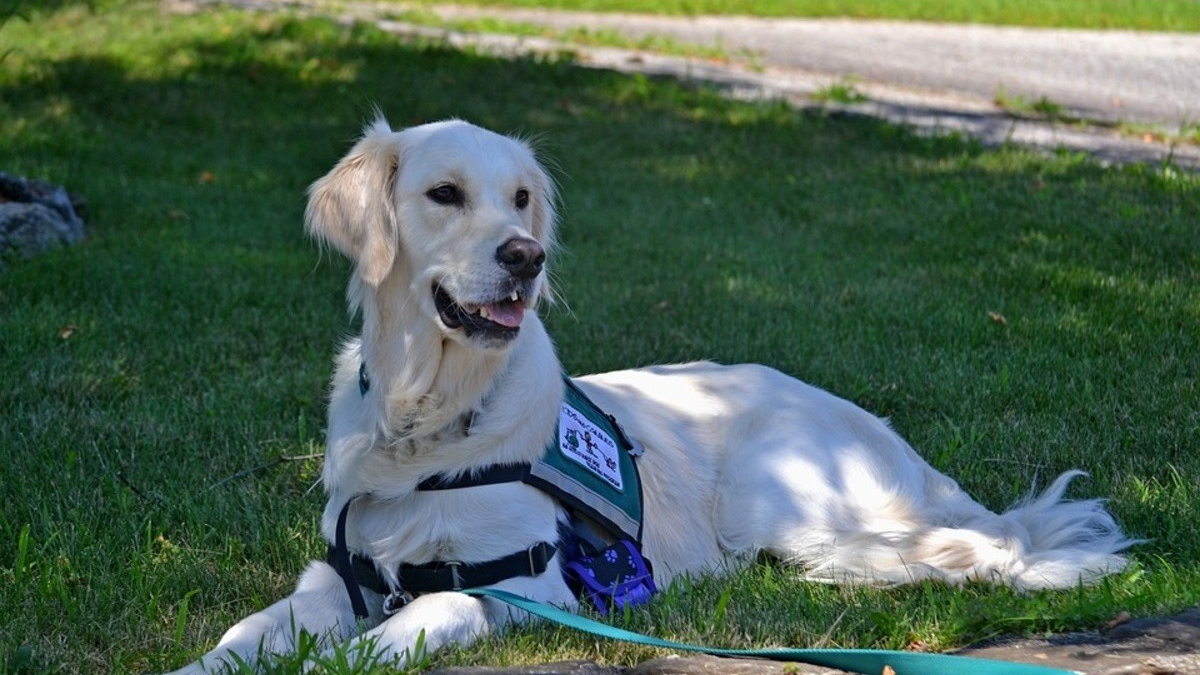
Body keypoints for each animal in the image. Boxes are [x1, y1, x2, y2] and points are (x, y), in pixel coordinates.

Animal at [164, 118, 1128, 667]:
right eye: (444, 194)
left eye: (521, 198)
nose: (526, 256)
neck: (425, 421)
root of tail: (887, 433)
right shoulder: (340, 575)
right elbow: (238, 639)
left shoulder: (520, 585)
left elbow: (386, 638)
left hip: (780, 499)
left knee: (969, 547)